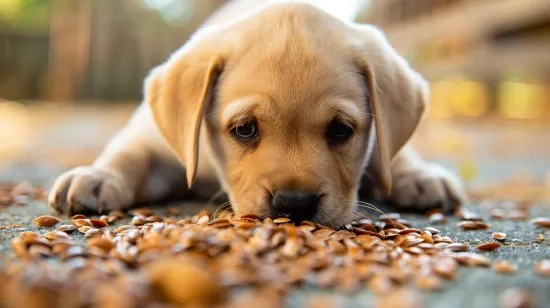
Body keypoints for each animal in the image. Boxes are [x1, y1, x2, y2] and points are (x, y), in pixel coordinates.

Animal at [48, 0, 470, 226]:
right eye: (244, 129)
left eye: (340, 130)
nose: (294, 205)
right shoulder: (155, 139)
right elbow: (129, 153)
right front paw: (96, 177)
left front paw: (416, 174)